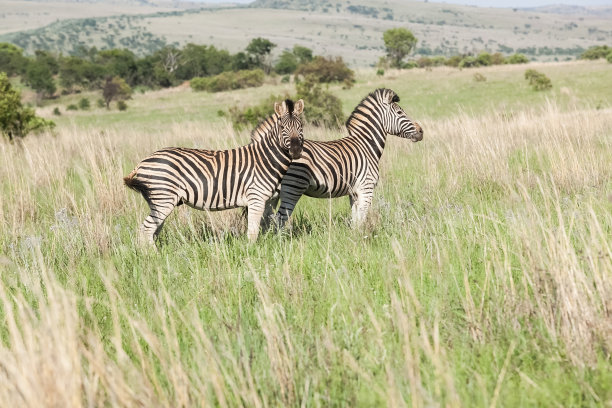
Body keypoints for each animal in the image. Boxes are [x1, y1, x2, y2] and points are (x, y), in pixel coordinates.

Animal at [123, 99, 304, 244]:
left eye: (301, 126)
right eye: (282, 127)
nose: (296, 151)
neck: (265, 158)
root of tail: (143, 161)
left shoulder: (268, 200)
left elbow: (265, 226)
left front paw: (268, 245)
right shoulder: (256, 198)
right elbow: (253, 232)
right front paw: (252, 252)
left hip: (158, 201)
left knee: (152, 230)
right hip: (163, 198)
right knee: (146, 230)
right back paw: (152, 257)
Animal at [251, 88, 424, 230]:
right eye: (400, 113)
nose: (421, 131)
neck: (366, 145)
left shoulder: (354, 192)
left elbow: (355, 220)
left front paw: (355, 239)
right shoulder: (366, 188)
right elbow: (362, 218)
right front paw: (363, 241)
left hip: (273, 193)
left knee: (265, 219)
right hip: (292, 187)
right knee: (280, 219)